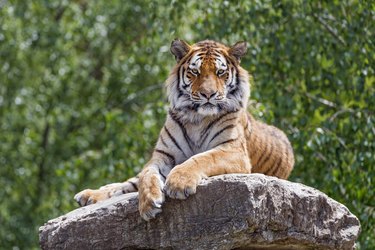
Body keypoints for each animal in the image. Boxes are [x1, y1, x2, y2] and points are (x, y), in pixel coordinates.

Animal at [74, 38, 296, 221]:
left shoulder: (233, 151)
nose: (208, 94)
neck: (197, 118)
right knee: (126, 184)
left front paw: (178, 183)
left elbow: (202, 158)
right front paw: (148, 203)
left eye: (220, 73)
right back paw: (88, 195)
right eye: (195, 72)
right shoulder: (162, 156)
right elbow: (147, 175)